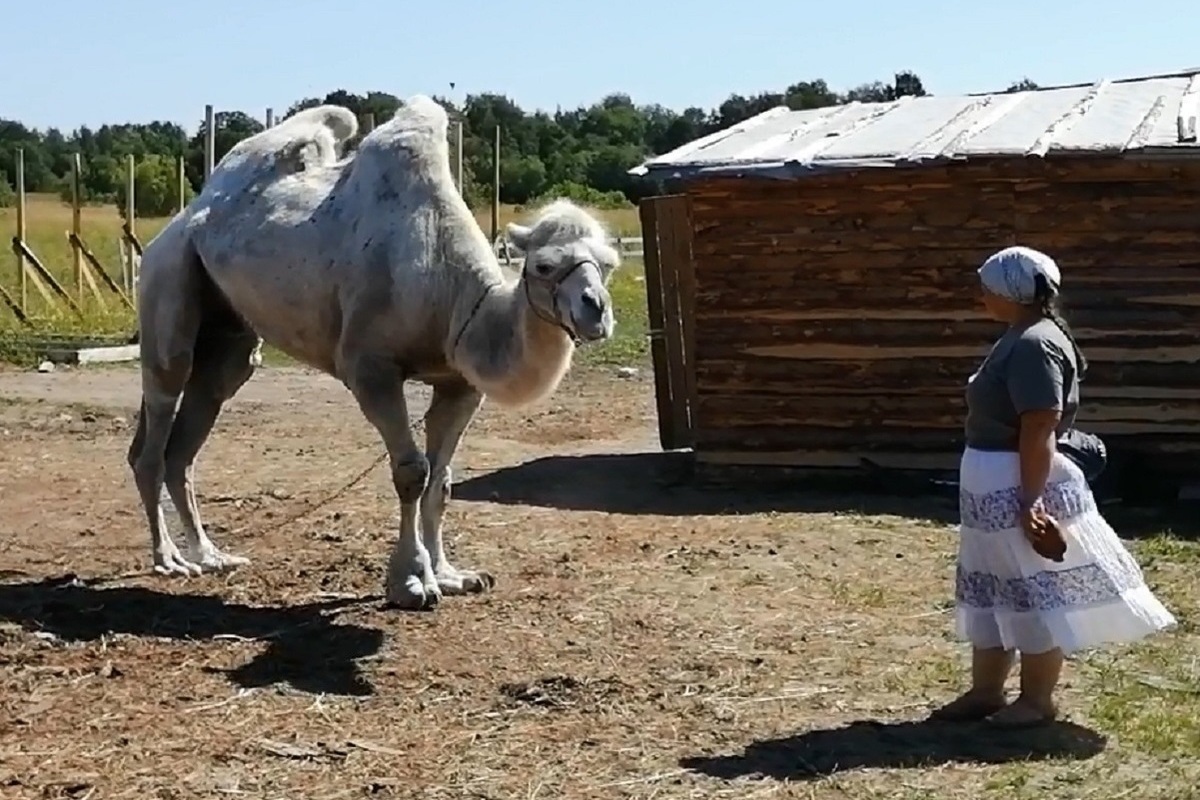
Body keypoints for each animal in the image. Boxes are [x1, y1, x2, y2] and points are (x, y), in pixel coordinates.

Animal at [127, 100, 624, 614]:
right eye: (544, 266)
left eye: (609, 265)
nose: (596, 311)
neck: (452, 293)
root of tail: (182, 219)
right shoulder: (371, 368)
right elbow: (412, 473)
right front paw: (411, 582)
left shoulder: (459, 385)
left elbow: (442, 481)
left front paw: (451, 575)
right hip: (169, 278)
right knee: (157, 418)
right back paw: (170, 560)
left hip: (228, 334)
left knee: (192, 428)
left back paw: (211, 556)